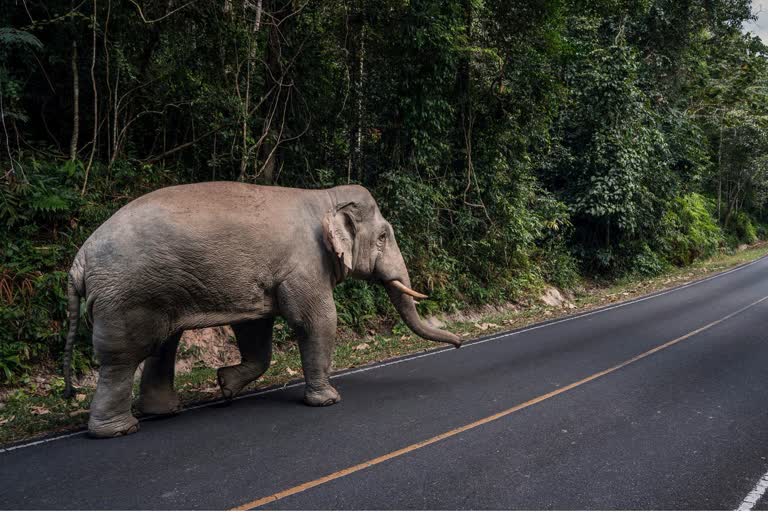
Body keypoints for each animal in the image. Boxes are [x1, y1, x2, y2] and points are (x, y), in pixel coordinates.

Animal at [63, 182, 460, 438]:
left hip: (154, 289)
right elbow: (316, 320)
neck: (323, 197)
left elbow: (256, 329)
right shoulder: (304, 263)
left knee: (163, 344)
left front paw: (225, 386)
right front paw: (328, 401)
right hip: (126, 297)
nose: (458, 344)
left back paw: (163, 412)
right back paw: (119, 430)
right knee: (123, 356)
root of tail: (79, 260)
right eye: (382, 237)